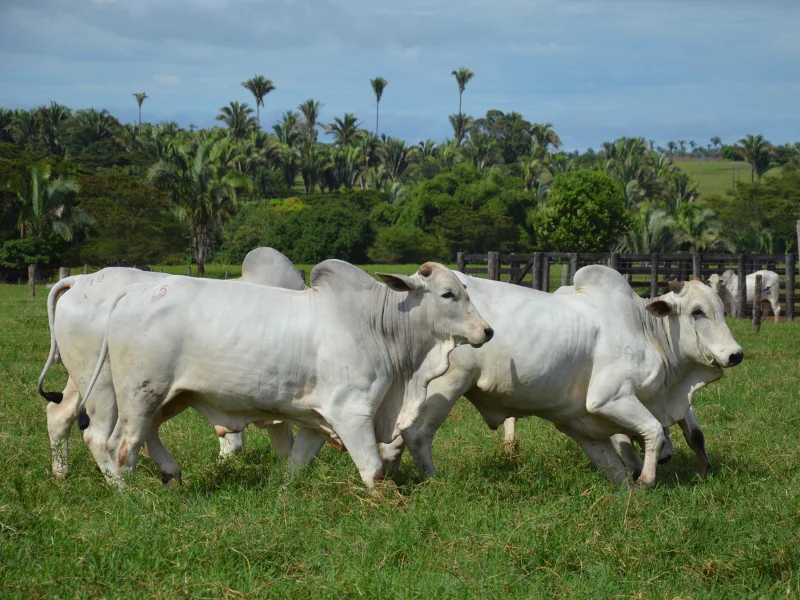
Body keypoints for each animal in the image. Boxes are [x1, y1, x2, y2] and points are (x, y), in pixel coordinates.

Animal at [83, 260, 494, 490]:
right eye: (448, 294)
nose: (487, 331)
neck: (377, 325)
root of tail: (135, 292)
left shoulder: (317, 421)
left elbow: (296, 464)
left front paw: (283, 491)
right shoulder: (352, 412)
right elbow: (374, 471)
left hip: (171, 395)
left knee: (144, 434)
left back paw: (169, 474)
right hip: (140, 393)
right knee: (119, 443)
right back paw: (127, 492)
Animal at [382, 268, 744, 488]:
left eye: (721, 308)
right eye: (697, 312)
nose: (735, 354)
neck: (647, 330)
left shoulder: (581, 422)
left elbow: (621, 464)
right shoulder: (610, 397)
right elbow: (654, 431)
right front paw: (646, 480)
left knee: (396, 438)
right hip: (446, 386)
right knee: (416, 435)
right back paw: (431, 480)